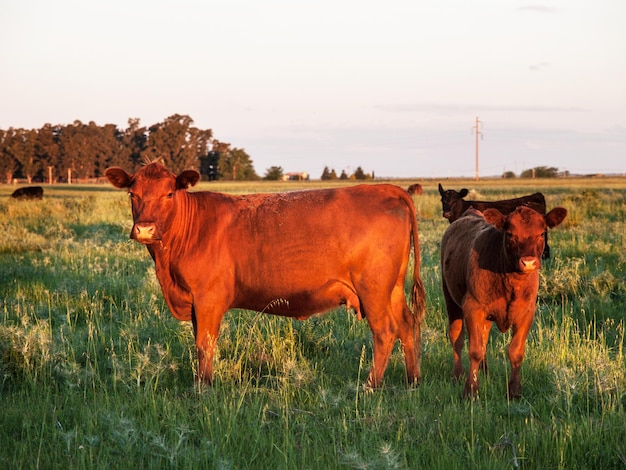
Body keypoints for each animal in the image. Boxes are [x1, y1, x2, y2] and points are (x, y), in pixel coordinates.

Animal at [106, 163, 424, 388]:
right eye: (132, 194)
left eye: (169, 193)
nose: (145, 229)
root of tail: (388, 189)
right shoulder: (196, 302)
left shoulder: (208, 298)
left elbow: (204, 345)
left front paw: (203, 388)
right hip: (393, 288)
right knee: (407, 324)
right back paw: (413, 382)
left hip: (373, 289)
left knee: (385, 331)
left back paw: (370, 386)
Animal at [438, 204, 564, 398]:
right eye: (510, 234)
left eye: (542, 233)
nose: (528, 262)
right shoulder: (473, 308)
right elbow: (475, 350)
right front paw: (471, 390)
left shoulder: (527, 313)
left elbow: (515, 351)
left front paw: (514, 391)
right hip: (450, 298)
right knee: (456, 337)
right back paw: (457, 375)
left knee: (483, 338)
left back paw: (485, 372)